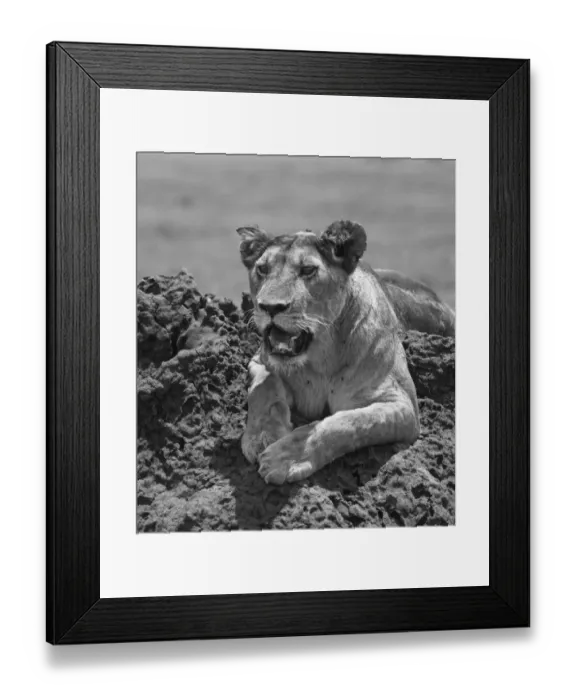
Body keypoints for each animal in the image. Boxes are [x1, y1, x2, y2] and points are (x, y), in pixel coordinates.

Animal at [237, 220, 455, 485]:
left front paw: (286, 457)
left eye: (308, 270)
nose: (269, 307)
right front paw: (261, 437)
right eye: (262, 269)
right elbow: (263, 389)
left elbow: (348, 423)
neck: (319, 360)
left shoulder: (402, 404)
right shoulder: (260, 361)